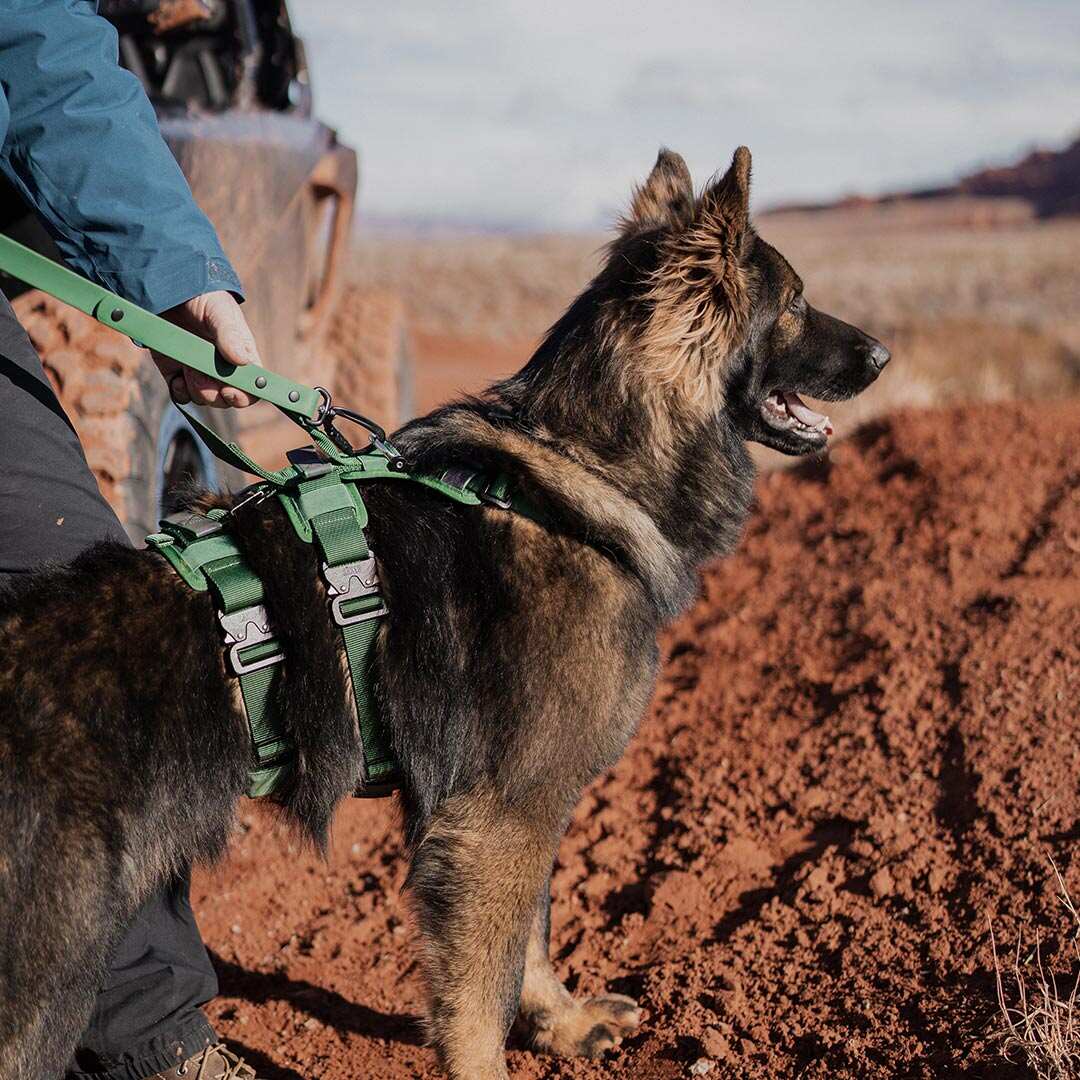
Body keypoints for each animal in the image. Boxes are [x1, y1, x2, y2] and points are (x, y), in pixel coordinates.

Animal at [0, 147, 889, 1075]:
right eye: (794, 302)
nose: (884, 353)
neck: (582, 471)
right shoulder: (501, 818)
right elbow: (482, 997)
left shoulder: (491, 814)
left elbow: (532, 941)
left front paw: (562, 1024)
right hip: (51, 967)